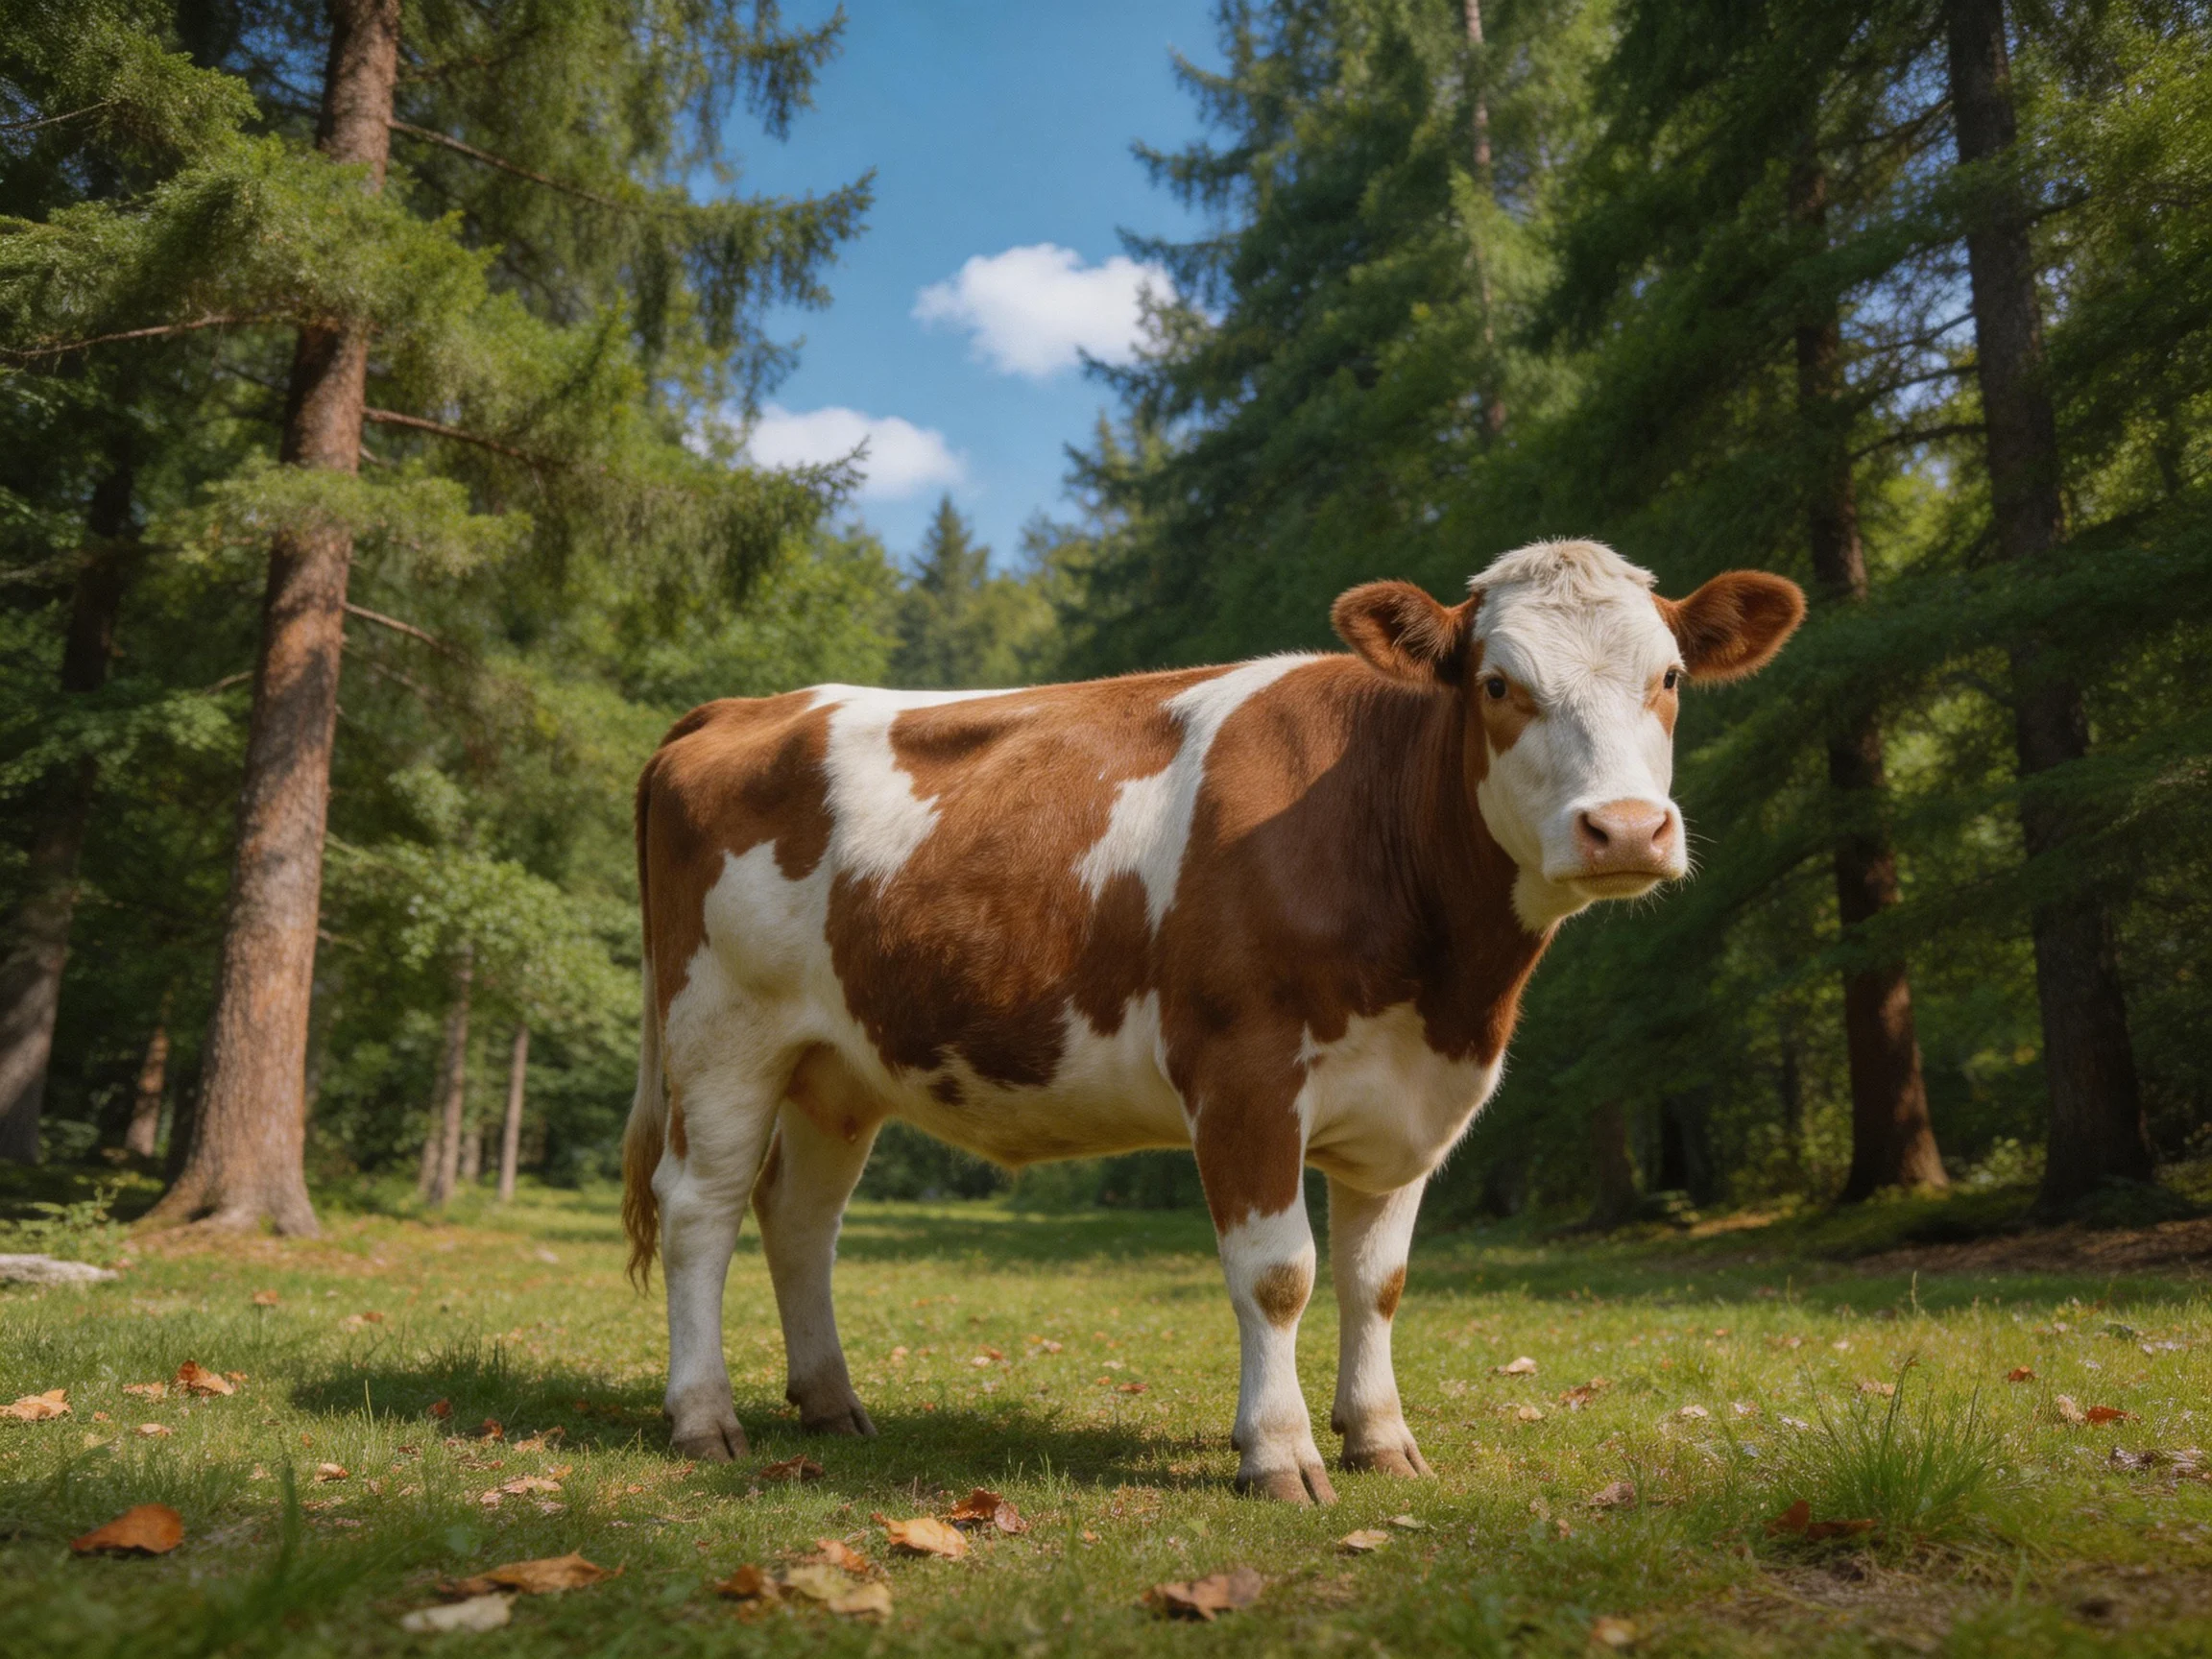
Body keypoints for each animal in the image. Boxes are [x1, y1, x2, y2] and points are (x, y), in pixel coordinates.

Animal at [622, 538, 1804, 1502]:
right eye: (1499, 682)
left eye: (1669, 677)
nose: (1626, 828)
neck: (1447, 981)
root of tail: (742, 709)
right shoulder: (1244, 1072)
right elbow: (1279, 1273)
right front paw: (1279, 1453)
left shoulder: (1412, 1100)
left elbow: (1379, 1280)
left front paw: (1381, 1440)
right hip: (721, 1033)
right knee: (701, 1210)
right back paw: (703, 1417)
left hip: (837, 1066)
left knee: (799, 1217)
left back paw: (831, 1403)